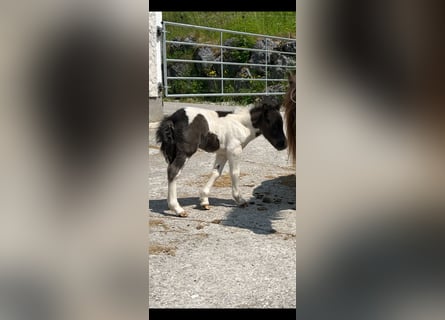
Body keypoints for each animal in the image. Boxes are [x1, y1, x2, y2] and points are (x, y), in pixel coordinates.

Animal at [157, 102, 288, 218]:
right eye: (270, 121)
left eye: (281, 123)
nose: (283, 144)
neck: (242, 125)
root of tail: (173, 118)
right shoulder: (234, 151)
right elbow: (235, 173)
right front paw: (240, 200)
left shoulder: (222, 153)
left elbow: (216, 173)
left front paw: (204, 201)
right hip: (186, 151)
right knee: (173, 171)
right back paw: (178, 209)